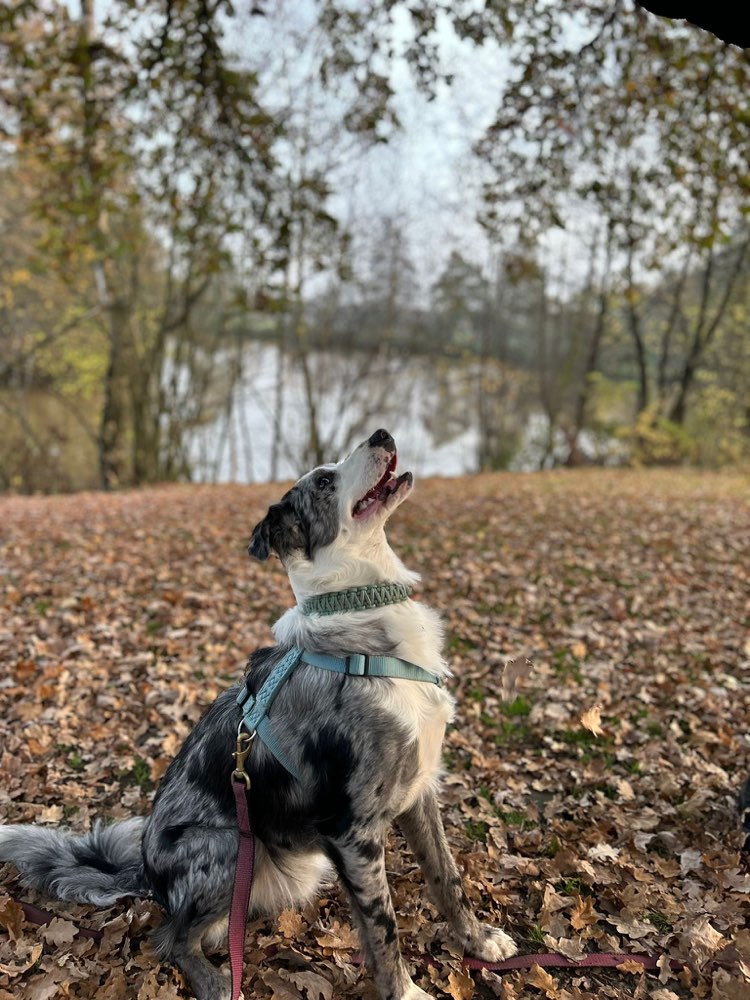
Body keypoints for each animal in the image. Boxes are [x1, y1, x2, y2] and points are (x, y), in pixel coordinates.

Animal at [0, 430, 516, 1000]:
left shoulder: (419, 791)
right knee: (173, 937)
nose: (383, 434)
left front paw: (479, 940)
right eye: (325, 481)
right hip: (226, 846)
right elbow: (383, 928)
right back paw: (218, 982)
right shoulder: (352, 830)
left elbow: (447, 878)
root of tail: (148, 877)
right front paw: (407, 992)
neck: (358, 619)